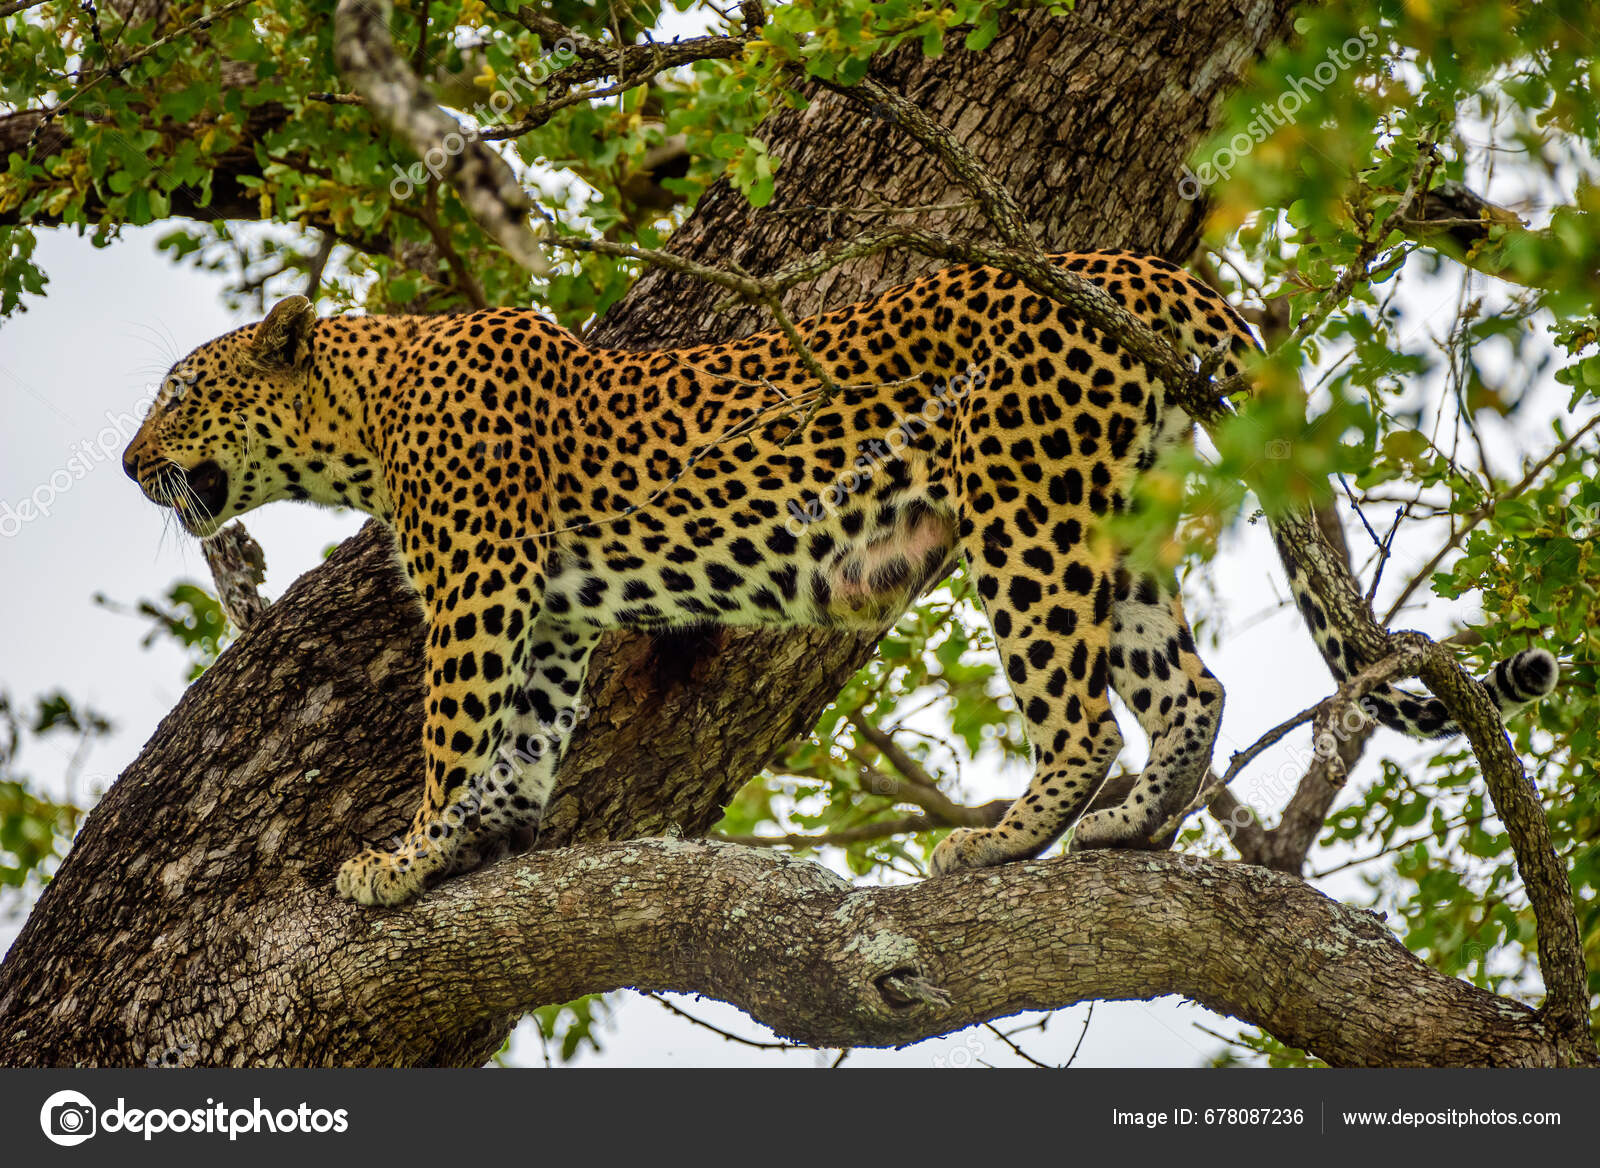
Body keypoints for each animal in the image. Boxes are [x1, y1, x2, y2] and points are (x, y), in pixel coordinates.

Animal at [121, 250, 1559, 906]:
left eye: (179, 390)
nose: (133, 464)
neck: (365, 415)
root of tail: (1141, 266)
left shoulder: (479, 585)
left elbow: (450, 726)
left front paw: (405, 852)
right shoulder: (547, 611)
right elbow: (522, 731)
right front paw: (489, 832)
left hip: (1022, 509)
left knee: (1082, 711)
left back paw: (1009, 834)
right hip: (1117, 514)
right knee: (1188, 687)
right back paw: (1132, 830)